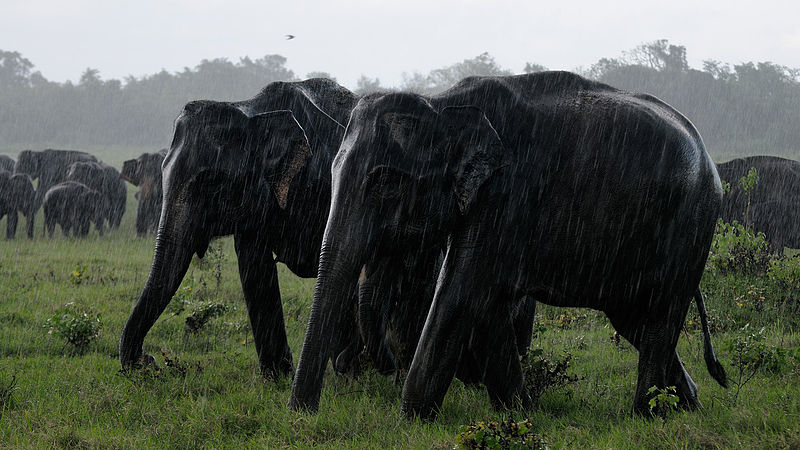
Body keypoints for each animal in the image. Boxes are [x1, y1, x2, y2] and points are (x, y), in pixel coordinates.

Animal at [290, 70, 728, 418]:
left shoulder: (506, 195)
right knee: (634, 319)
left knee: (660, 315)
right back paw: (689, 406)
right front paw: (519, 412)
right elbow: (488, 307)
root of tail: (707, 156)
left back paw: (646, 415)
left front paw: (411, 419)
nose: (302, 412)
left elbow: (462, 293)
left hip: (691, 225)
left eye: (384, 182)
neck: (443, 104)